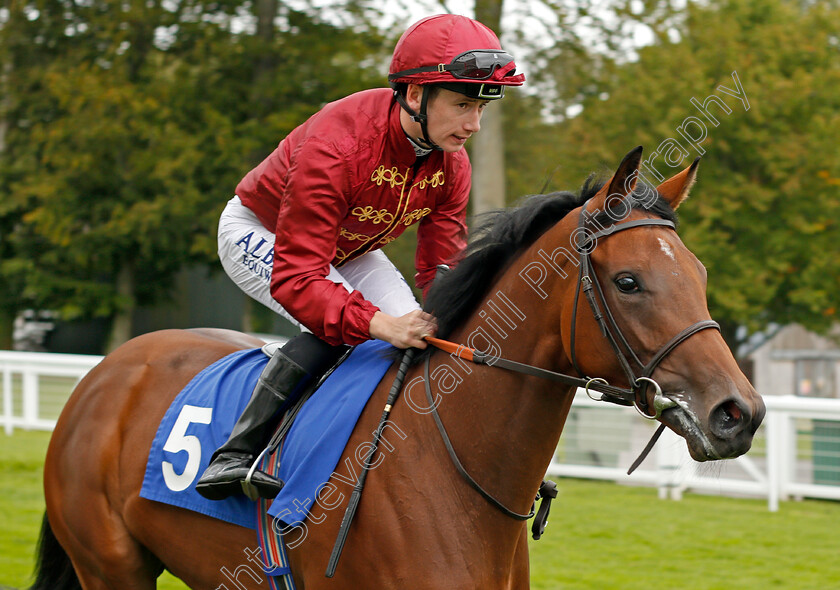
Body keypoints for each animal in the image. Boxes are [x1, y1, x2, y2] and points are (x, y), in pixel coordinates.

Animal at [32, 148, 764, 590]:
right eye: (630, 281)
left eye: (699, 275)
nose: (740, 413)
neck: (449, 465)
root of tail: (103, 375)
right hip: (111, 567)